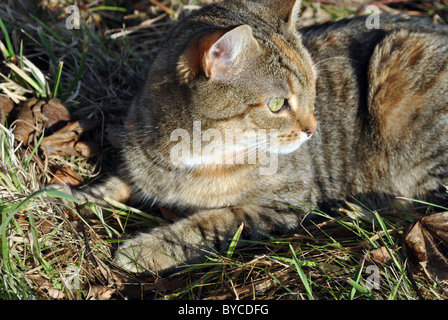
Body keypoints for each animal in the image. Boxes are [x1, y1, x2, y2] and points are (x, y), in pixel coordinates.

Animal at [54, 0, 446, 276]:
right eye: (276, 104)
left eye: (314, 88)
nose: (313, 128)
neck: (193, 155)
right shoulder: (140, 167)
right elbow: (112, 185)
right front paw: (65, 197)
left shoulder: (284, 203)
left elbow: (212, 223)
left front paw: (146, 250)